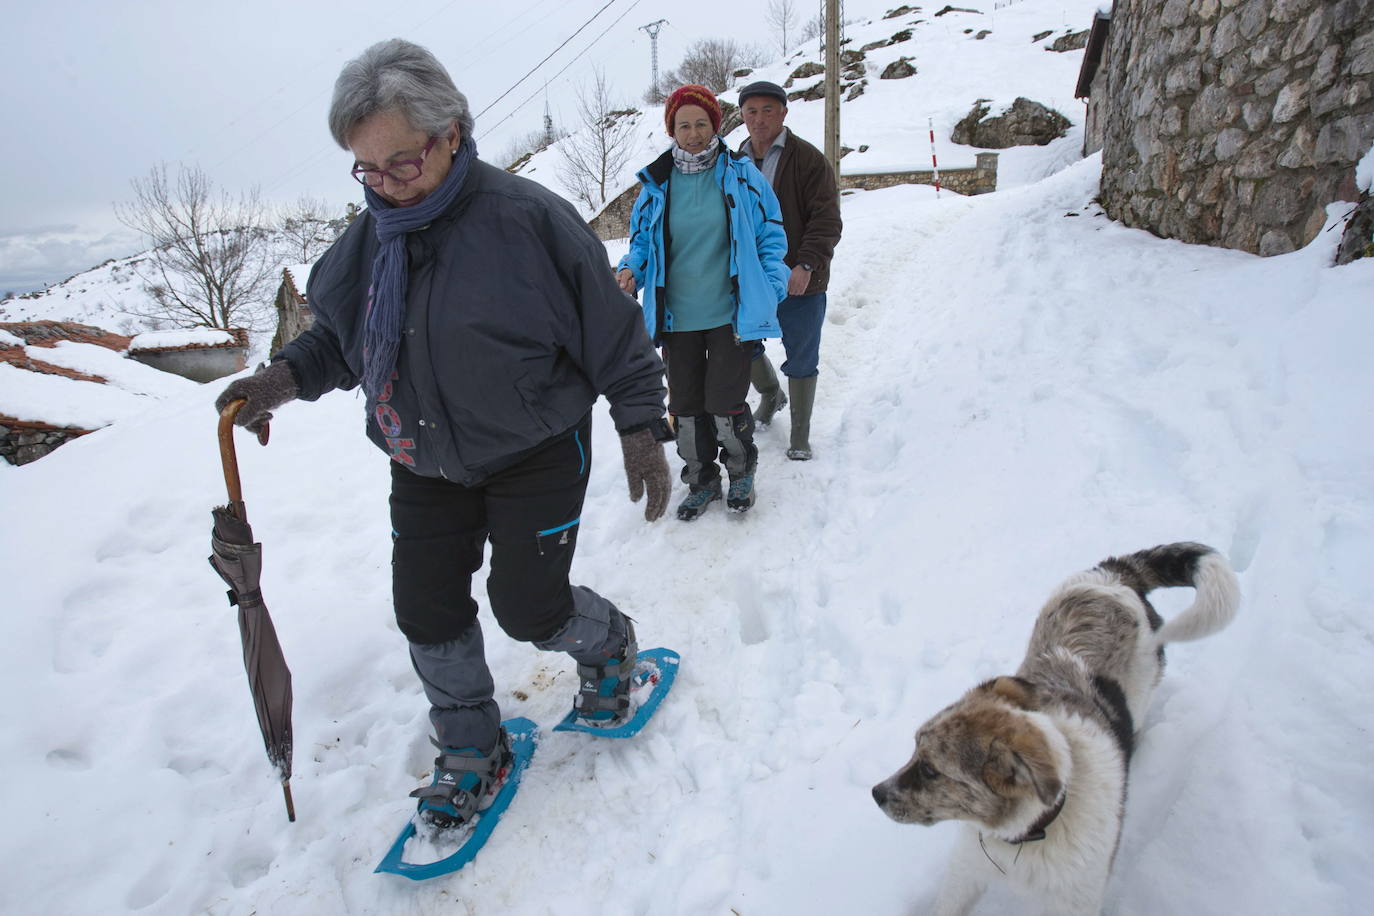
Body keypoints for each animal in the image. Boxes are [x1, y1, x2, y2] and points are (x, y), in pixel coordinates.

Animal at [873, 541, 1242, 911]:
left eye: (931, 770)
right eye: (914, 747)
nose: (876, 793)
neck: (1028, 833)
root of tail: (1114, 574)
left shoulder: (1077, 899)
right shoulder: (966, 872)